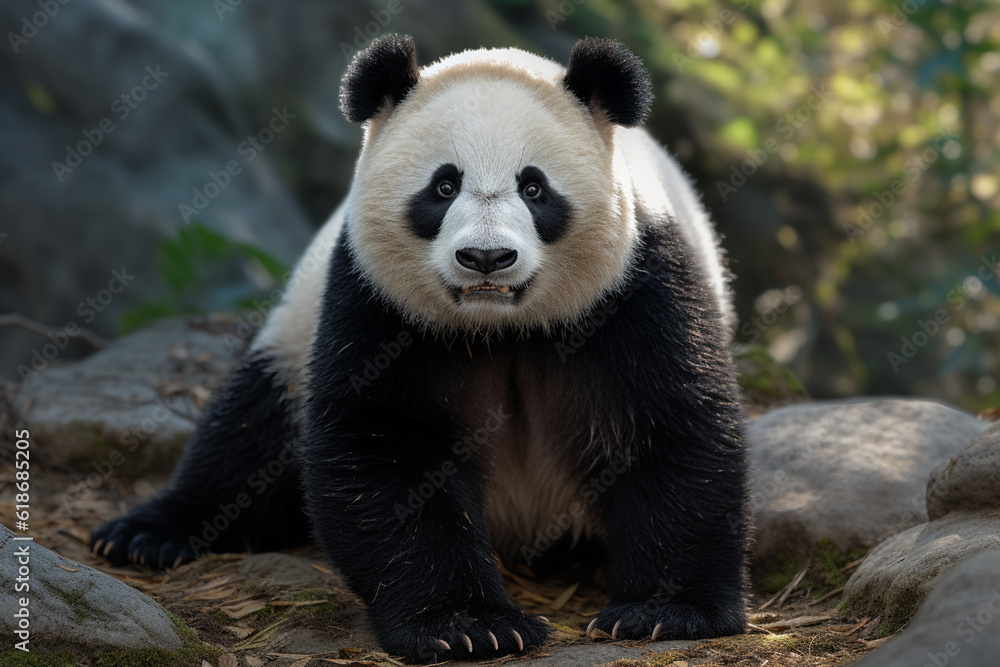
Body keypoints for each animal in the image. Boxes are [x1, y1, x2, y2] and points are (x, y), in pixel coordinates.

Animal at [92, 35, 747, 663]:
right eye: (444, 185)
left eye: (534, 187)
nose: (486, 258)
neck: (503, 327)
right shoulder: (377, 301)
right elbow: (385, 442)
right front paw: (469, 627)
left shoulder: (634, 286)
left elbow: (669, 426)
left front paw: (663, 612)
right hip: (293, 334)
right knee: (248, 433)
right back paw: (148, 534)